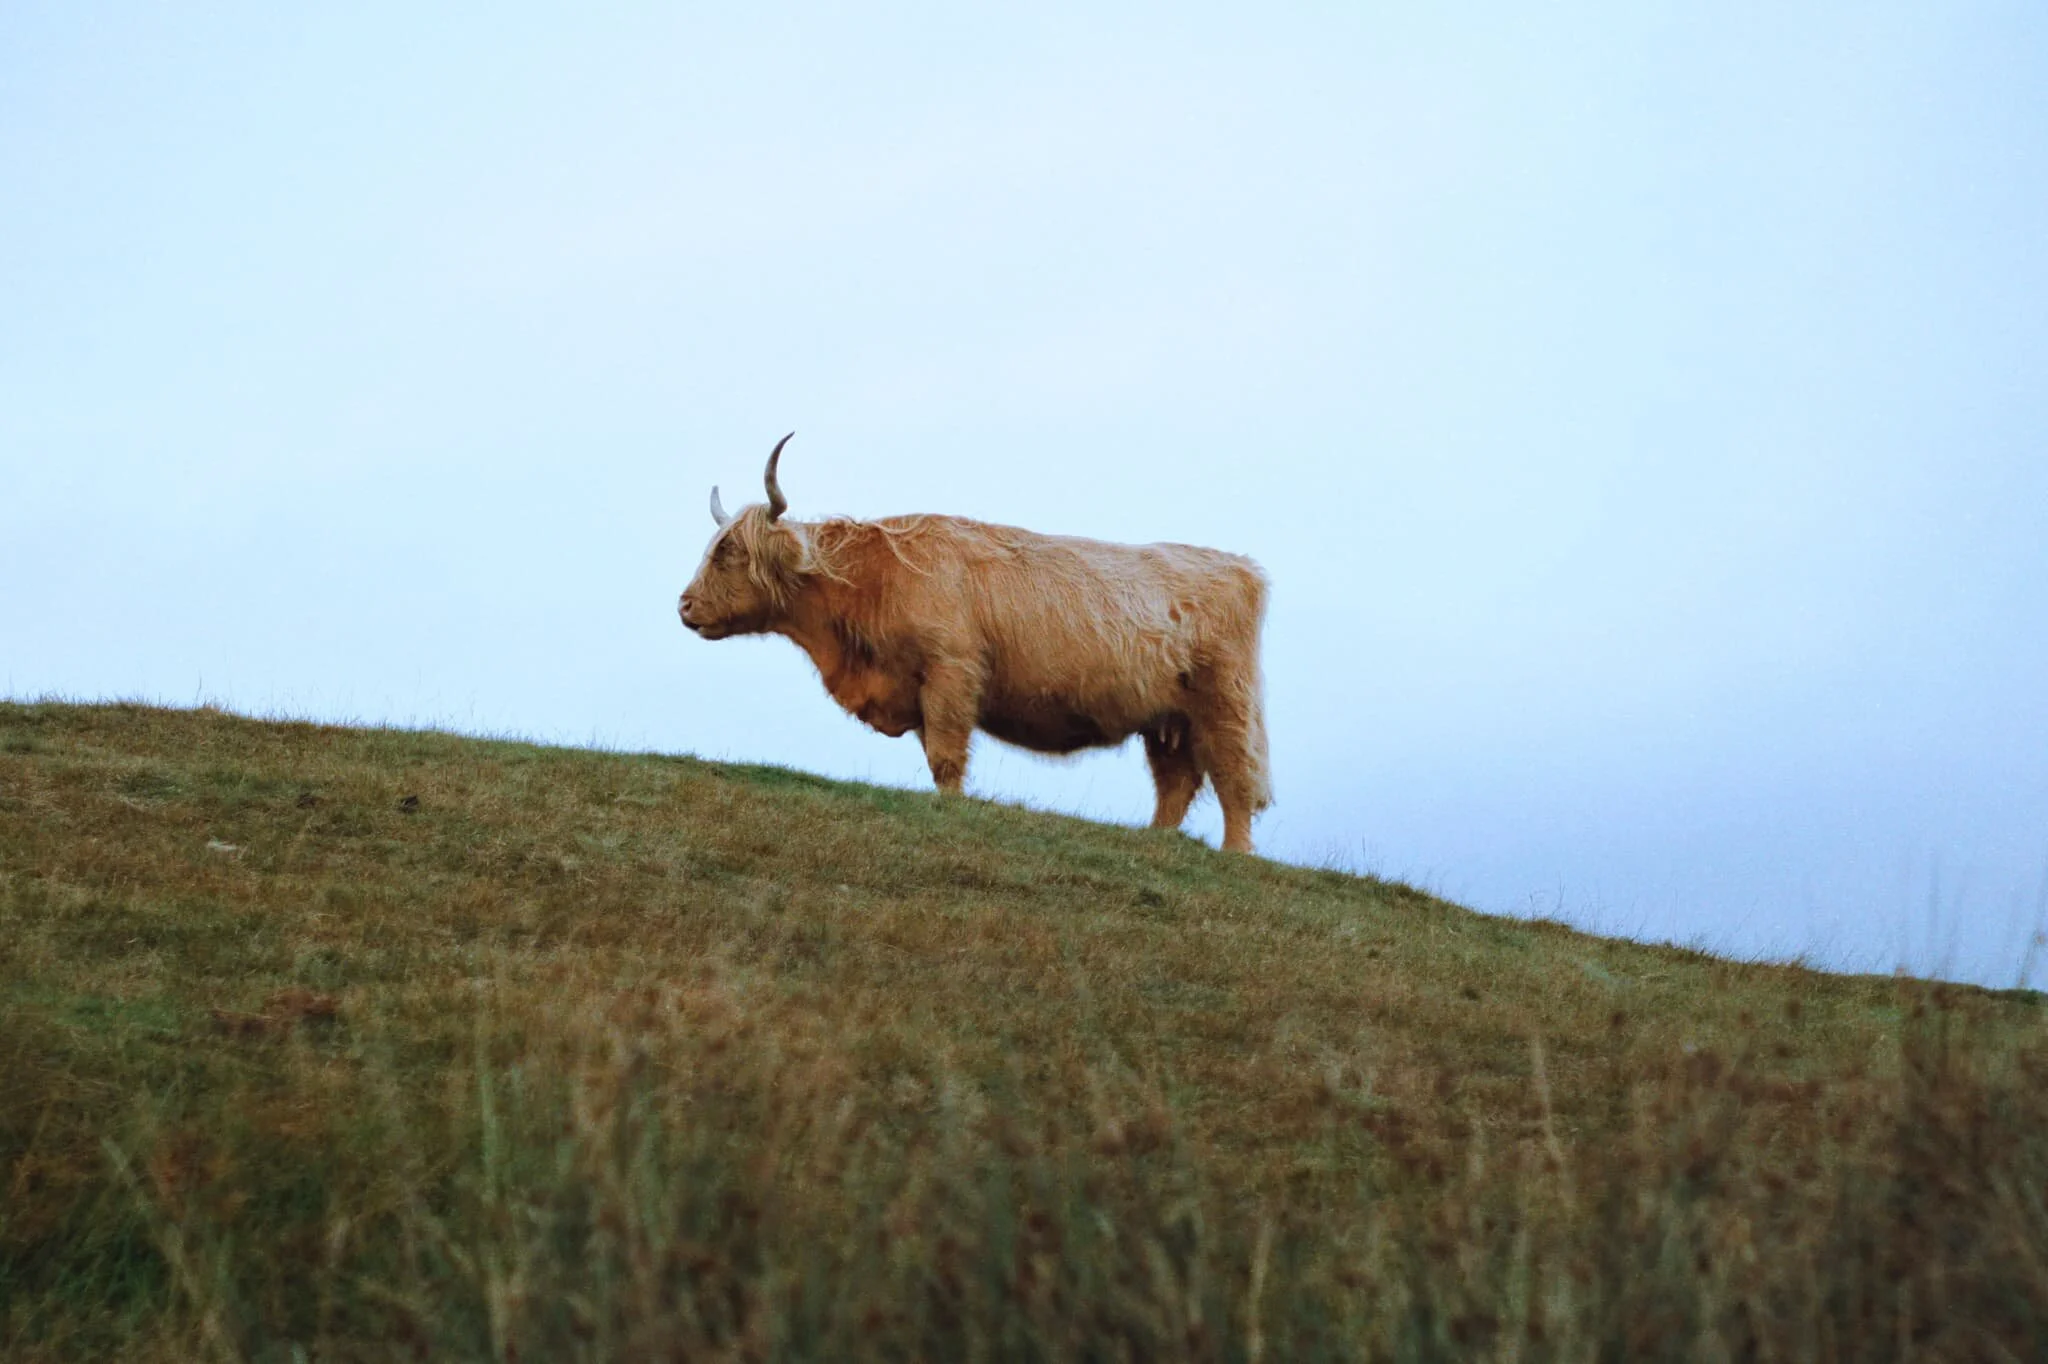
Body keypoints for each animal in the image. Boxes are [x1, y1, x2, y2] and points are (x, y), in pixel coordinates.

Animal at [677, 434, 1273, 853]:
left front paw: (954, 808)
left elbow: (946, 755)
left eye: (728, 550)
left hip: (1225, 702)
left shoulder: (950, 673)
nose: (683, 605)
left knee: (1234, 778)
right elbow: (934, 753)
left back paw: (1236, 852)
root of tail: (1238, 565)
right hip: (1167, 719)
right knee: (1177, 781)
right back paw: (1156, 840)